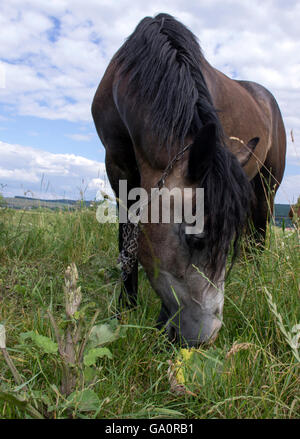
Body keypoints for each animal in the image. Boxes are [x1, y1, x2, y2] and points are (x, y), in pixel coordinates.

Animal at [92, 13, 286, 348]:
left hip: (267, 186)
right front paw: (124, 310)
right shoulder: (117, 167)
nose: (205, 337)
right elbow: (126, 246)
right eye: (195, 238)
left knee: (260, 236)